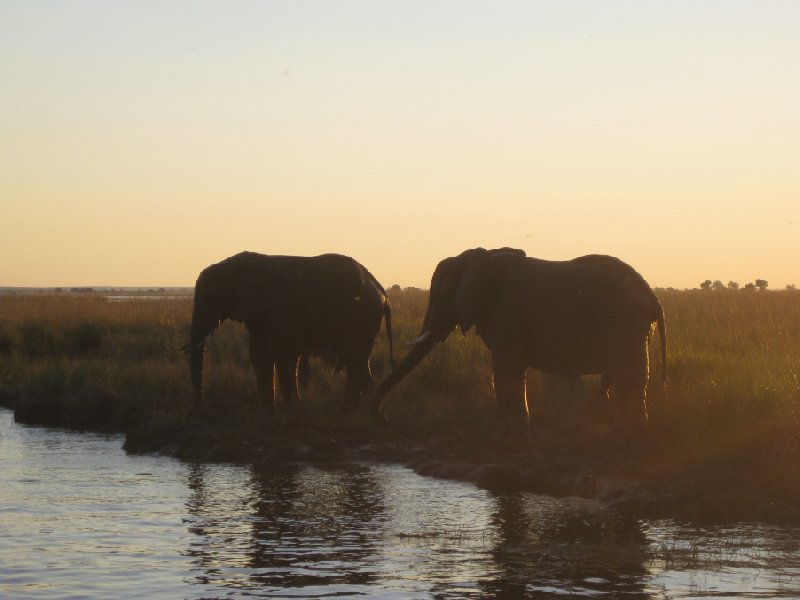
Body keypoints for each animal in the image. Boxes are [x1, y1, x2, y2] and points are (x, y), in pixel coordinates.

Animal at [181, 251, 394, 414]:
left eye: (211, 297)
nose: (198, 409)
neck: (237, 265)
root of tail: (380, 288)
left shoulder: (281, 307)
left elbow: (285, 353)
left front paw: (294, 408)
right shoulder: (257, 313)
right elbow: (259, 354)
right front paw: (267, 411)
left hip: (363, 316)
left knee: (355, 358)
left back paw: (349, 411)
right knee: (357, 361)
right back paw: (355, 409)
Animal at [372, 246, 664, 438]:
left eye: (442, 294)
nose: (385, 419)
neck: (482, 257)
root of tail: (650, 293)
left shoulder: (506, 313)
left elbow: (509, 369)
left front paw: (518, 432)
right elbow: (500, 372)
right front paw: (504, 431)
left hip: (626, 323)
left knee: (631, 378)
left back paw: (630, 436)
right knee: (627, 379)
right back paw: (620, 433)